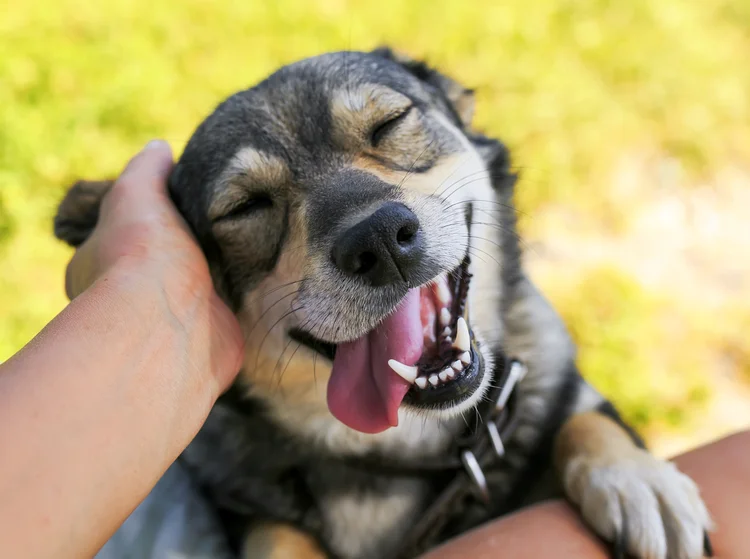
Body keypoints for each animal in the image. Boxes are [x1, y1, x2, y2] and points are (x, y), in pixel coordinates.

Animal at [55, 49, 712, 559]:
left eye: (391, 123)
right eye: (245, 207)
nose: (377, 240)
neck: (409, 448)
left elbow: (583, 418)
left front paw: (635, 479)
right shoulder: (241, 502)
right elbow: (276, 534)